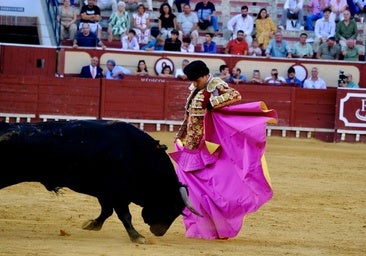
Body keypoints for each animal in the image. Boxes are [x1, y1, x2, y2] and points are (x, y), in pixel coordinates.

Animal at [0, 120, 200, 244]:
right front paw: (137, 237)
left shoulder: (106, 193)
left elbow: (106, 211)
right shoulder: (118, 193)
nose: (159, 232)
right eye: (172, 206)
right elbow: (124, 215)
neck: (138, 154)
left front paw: (91, 225)